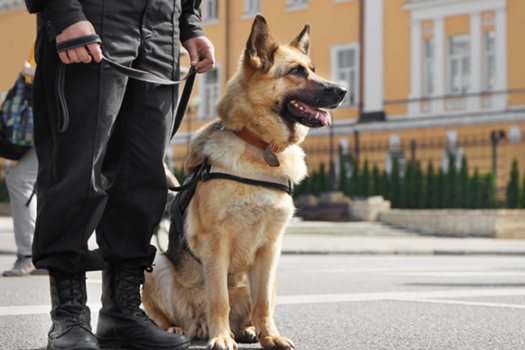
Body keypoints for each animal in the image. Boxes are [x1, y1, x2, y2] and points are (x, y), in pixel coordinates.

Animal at [143, 14, 346, 350]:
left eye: (313, 69)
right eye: (296, 72)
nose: (343, 90)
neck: (260, 147)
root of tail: (196, 325)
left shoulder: (271, 248)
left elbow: (262, 302)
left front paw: (270, 335)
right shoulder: (216, 242)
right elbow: (219, 298)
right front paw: (221, 337)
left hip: (273, 275)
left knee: (254, 306)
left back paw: (249, 330)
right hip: (156, 263)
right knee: (164, 314)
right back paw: (174, 330)